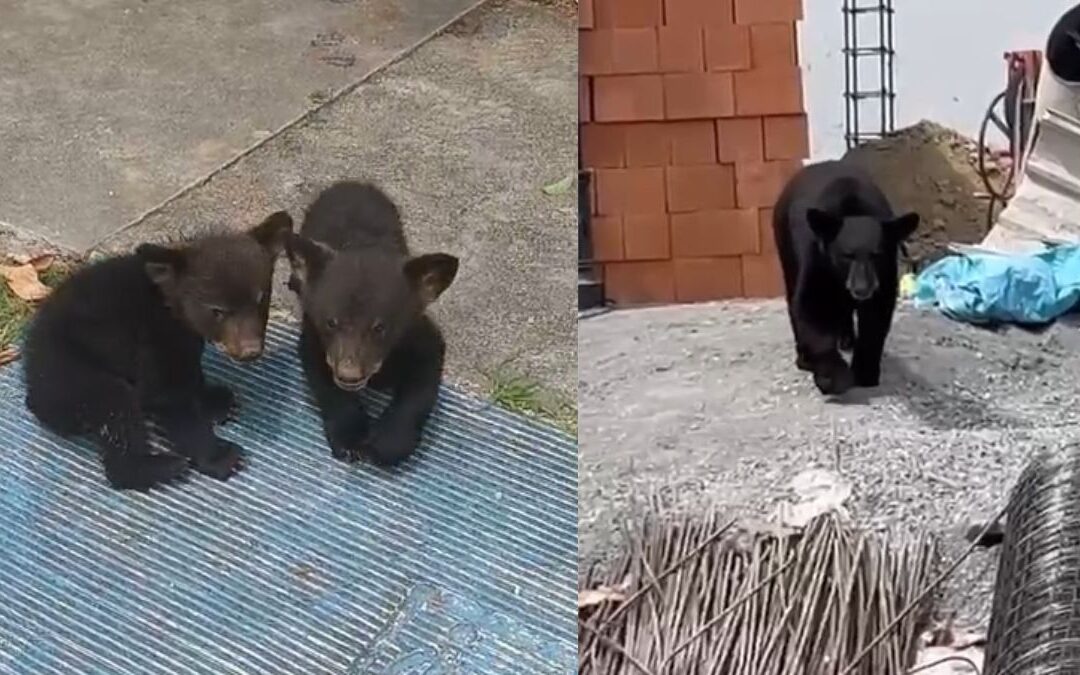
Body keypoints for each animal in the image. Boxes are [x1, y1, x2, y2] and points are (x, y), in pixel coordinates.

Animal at [23, 212, 294, 490]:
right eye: (217, 310)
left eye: (260, 300)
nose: (251, 351)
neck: (168, 304)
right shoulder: (153, 340)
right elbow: (170, 400)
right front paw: (218, 456)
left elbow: (190, 374)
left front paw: (213, 400)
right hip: (75, 371)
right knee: (116, 410)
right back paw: (159, 467)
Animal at [285, 181, 458, 467]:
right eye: (331, 322)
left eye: (380, 327)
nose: (349, 374)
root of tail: (350, 183)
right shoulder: (313, 336)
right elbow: (325, 384)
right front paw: (350, 437)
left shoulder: (421, 335)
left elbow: (422, 386)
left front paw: (389, 441)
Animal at [772, 160, 919, 396]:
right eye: (846, 255)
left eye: (876, 254)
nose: (862, 288)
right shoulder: (817, 257)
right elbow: (812, 308)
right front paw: (833, 377)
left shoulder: (885, 273)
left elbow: (876, 318)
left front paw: (866, 373)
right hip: (784, 241)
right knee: (792, 293)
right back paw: (804, 357)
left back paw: (847, 339)